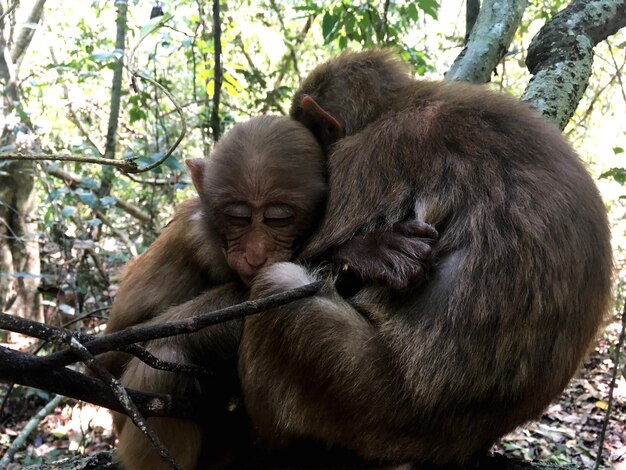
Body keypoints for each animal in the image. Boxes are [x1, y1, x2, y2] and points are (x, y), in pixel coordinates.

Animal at [235, 49, 608, 464]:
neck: (400, 103)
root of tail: (463, 443)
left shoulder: (367, 156)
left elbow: (297, 254)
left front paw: (365, 251)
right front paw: (379, 251)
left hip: (369, 403)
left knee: (279, 285)